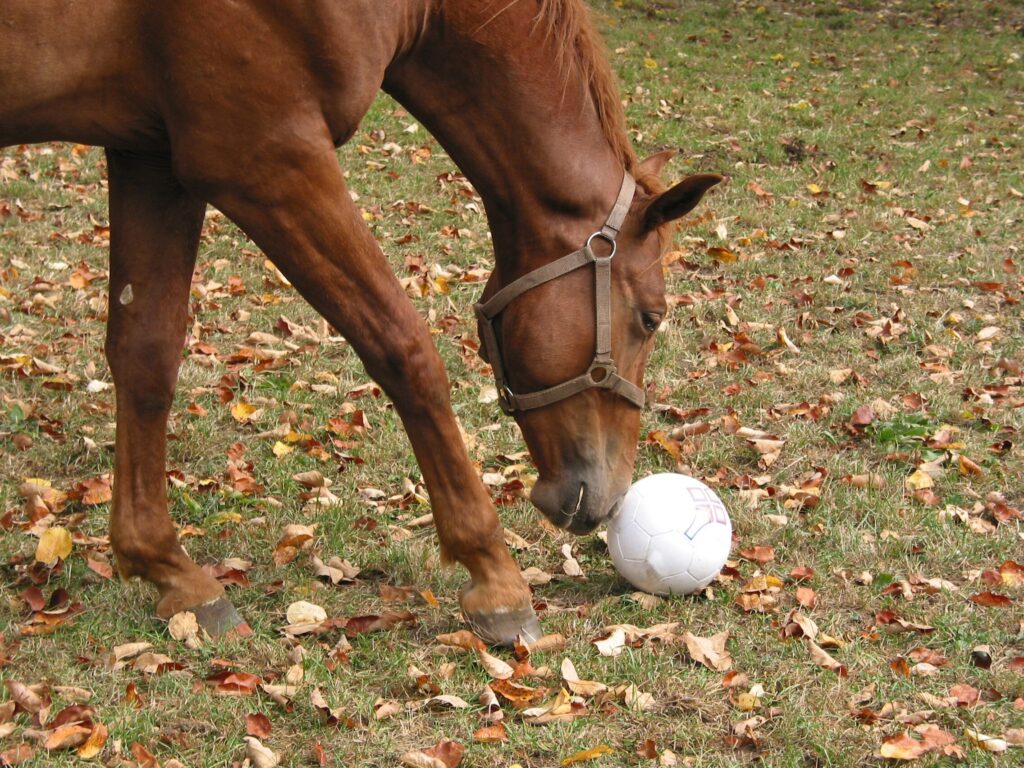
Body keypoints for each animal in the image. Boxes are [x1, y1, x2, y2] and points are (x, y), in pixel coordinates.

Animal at [1, 0, 721, 645]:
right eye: (651, 317)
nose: (609, 497)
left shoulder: (151, 154)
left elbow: (147, 353)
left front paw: (169, 569)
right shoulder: (264, 157)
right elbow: (405, 347)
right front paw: (494, 577)